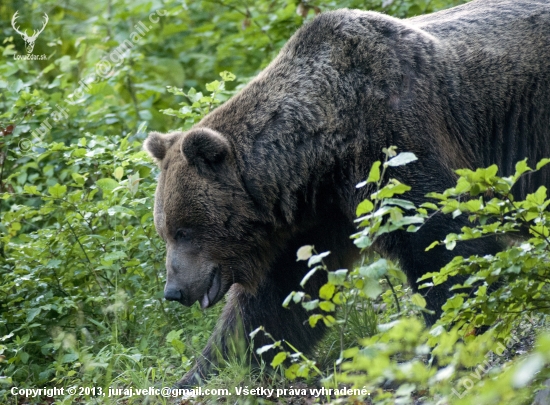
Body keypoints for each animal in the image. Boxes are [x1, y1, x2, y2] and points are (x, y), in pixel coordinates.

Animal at [146, 0, 550, 386]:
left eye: (184, 231)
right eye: (165, 231)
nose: (173, 291)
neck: (317, 155)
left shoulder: (392, 143)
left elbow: (444, 242)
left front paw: (446, 339)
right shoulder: (312, 219)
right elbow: (274, 301)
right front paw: (202, 373)